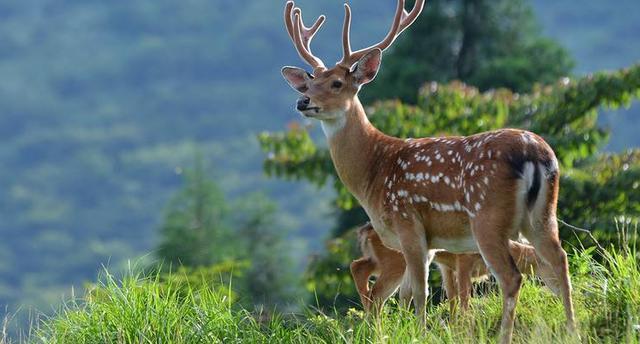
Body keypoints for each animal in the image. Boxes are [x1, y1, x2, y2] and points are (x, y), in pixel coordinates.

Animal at [350, 222, 560, 316]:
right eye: (551, 268)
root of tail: (365, 231)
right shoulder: (463, 261)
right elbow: (464, 297)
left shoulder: (447, 266)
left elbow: (452, 298)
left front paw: (454, 325)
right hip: (395, 261)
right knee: (377, 293)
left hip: (380, 260)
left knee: (358, 267)